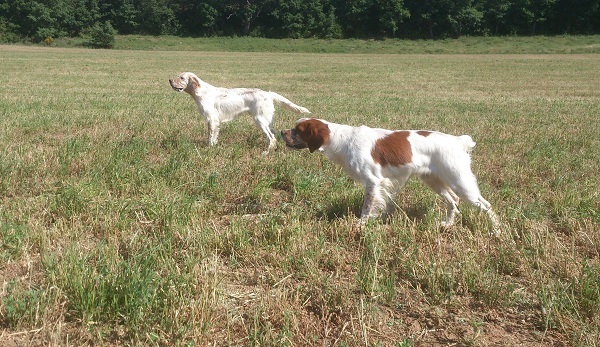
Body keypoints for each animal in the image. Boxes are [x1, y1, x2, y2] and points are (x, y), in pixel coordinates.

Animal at [169, 72, 310, 154]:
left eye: (181, 78)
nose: (170, 80)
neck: (201, 92)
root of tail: (268, 93)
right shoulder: (214, 121)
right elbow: (214, 137)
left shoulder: (212, 119)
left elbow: (210, 136)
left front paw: (209, 149)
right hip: (267, 120)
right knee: (274, 134)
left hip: (260, 120)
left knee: (271, 137)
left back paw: (265, 153)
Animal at [282, 117, 502, 234]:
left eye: (297, 130)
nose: (282, 132)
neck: (341, 140)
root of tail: (458, 141)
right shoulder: (384, 184)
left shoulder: (373, 181)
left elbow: (366, 207)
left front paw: (360, 225)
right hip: (434, 180)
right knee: (453, 200)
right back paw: (447, 224)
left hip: (460, 181)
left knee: (487, 206)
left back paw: (496, 231)